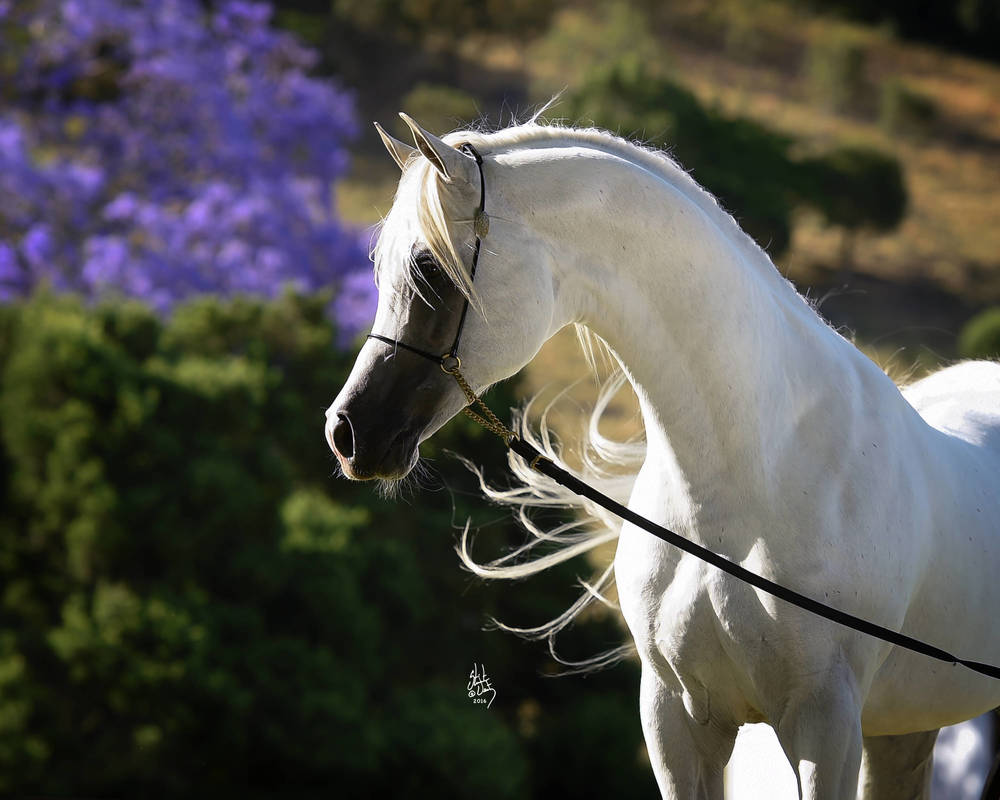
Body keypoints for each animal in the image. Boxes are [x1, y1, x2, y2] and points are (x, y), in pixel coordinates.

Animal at [325, 113, 1000, 799]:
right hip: (904, 727)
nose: (348, 433)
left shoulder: (824, 728)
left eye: (430, 269)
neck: (754, 485)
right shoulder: (677, 718)